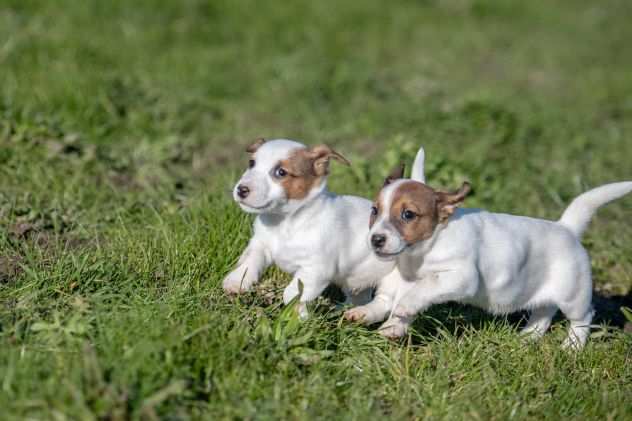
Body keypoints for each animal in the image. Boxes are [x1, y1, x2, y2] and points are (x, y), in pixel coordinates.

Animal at [222, 139, 400, 316]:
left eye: (281, 172)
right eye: (251, 163)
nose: (241, 189)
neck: (284, 221)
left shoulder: (315, 268)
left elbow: (292, 293)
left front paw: (297, 315)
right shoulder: (260, 245)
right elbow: (249, 261)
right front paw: (236, 281)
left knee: (385, 303)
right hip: (357, 281)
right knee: (359, 297)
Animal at [354, 164, 628, 348]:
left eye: (408, 215)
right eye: (375, 211)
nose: (376, 239)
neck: (422, 251)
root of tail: (567, 227)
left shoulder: (460, 277)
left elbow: (421, 290)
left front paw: (402, 310)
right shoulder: (402, 279)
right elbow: (393, 300)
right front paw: (381, 320)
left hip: (573, 295)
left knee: (583, 317)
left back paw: (571, 347)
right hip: (541, 292)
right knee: (544, 312)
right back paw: (527, 336)